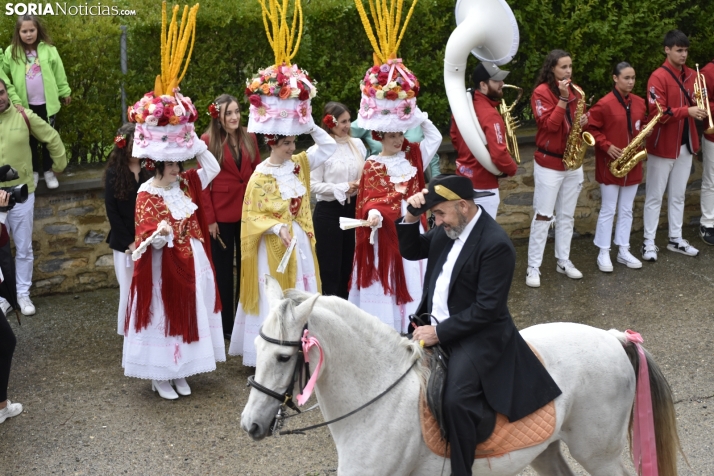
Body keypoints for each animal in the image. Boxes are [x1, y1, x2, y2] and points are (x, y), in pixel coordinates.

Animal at [242, 278, 680, 474]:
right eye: (256, 349)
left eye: (283, 357)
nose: (250, 426)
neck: (377, 403)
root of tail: (614, 337)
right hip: (547, 448)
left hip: (598, 451)